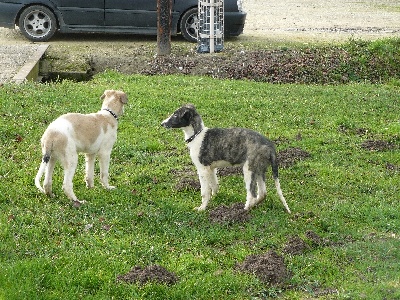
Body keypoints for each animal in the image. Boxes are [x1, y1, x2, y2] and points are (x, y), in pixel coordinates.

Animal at [162, 104, 290, 212]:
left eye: (175, 115)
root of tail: (270, 146)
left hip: (249, 169)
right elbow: (214, 186)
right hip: (259, 169)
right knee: (262, 193)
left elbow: (205, 192)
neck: (197, 135)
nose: (162, 124)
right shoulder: (211, 169)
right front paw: (214, 198)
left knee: (252, 195)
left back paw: (243, 211)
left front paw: (202, 209)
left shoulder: (202, 170)